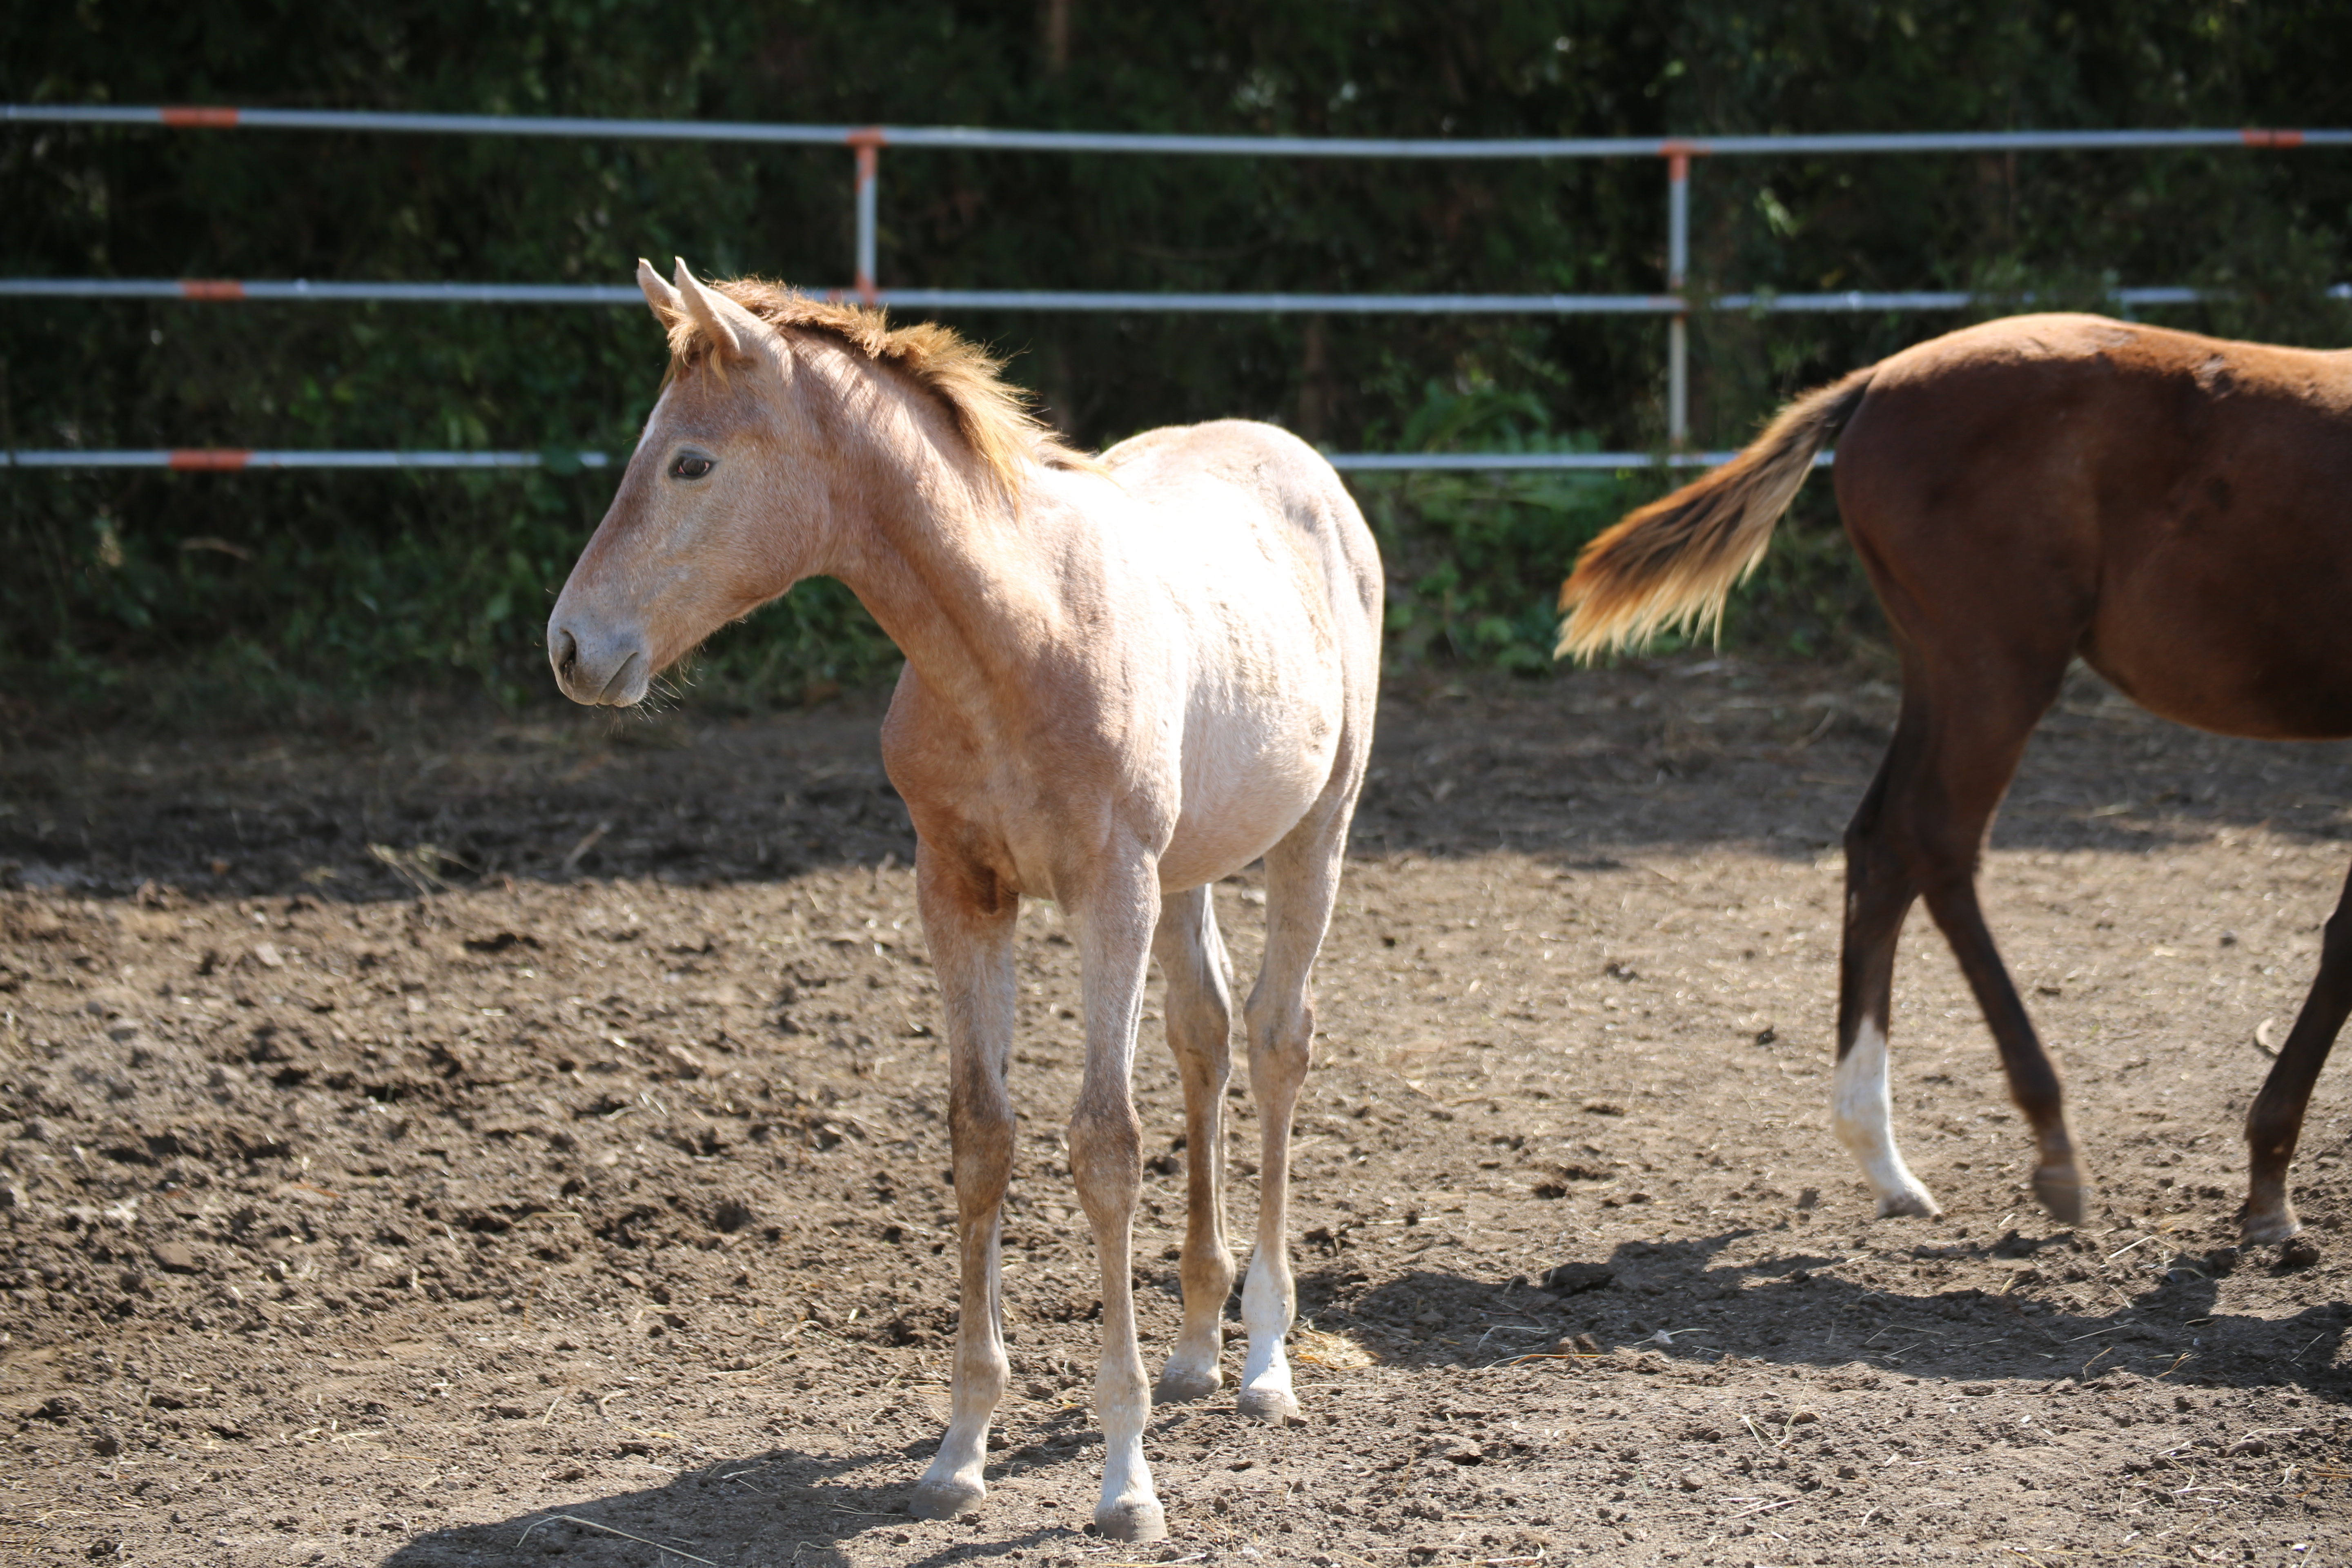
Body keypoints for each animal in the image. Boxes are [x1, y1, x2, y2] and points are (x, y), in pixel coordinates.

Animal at [1561, 312, 2352, 1241]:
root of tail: (1875, 383)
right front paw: (2269, 1183)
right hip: (1997, 670)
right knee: (1935, 844)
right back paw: (2050, 1147)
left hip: (1935, 669)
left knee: (1879, 845)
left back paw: (1885, 1162)